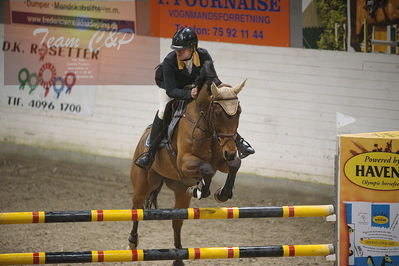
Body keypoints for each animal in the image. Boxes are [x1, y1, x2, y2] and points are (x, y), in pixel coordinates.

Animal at [130, 63, 245, 264]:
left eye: (238, 112)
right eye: (217, 113)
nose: (230, 151)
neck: (206, 127)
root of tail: (144, 138)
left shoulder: (222, 161)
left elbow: (233, 165)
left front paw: (221, 193)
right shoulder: (184, 162)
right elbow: (206, 168)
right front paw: (200, 189)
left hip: (179, 191)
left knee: (177, 221)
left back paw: (178, 257)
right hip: (143, 182)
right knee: (137, 208)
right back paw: (133, 242)